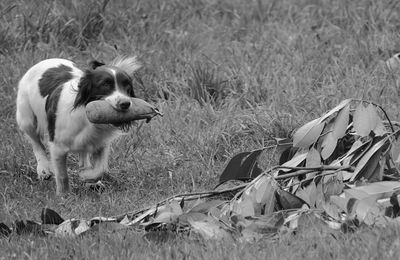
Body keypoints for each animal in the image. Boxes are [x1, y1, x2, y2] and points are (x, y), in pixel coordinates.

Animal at [16, 57, 142, 195]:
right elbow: (62, 175)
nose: (125, 103)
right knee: (36, 142)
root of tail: (44, 61)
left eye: (127, 87)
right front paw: (64, 195)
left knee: (83, 154)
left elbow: (100, 169)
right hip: (26, 118)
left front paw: (88, 177)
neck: (88, 119)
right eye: (105, 85)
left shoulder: (101, 142)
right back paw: (43, 169)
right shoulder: (57, 146)